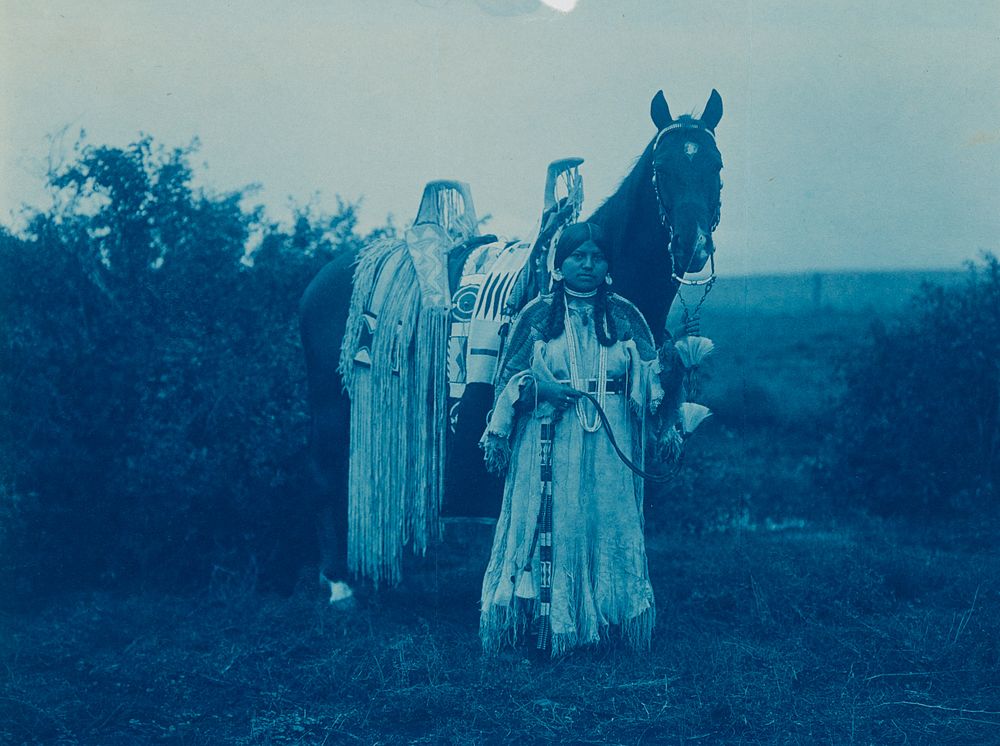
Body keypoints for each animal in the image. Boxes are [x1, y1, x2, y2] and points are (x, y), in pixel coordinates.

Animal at [300, 88, 724, 600]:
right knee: (323, 473)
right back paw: (338, 583)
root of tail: (323, 279)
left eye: (715, 165)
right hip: (328, 404)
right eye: (662, 166)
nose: (692, 246)